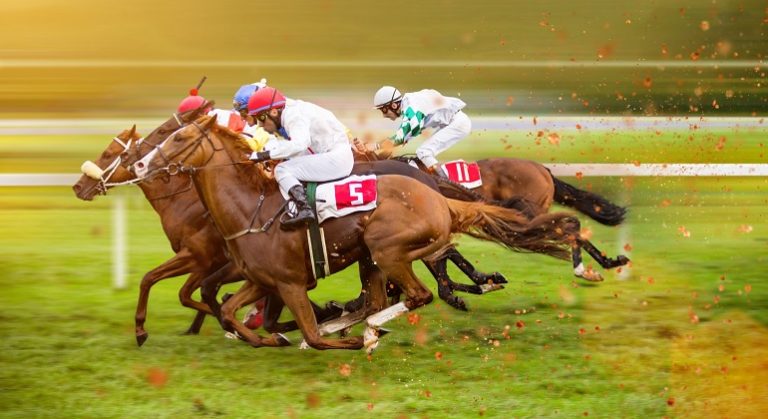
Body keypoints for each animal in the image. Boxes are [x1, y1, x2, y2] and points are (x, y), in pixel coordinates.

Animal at [132, 114, 581, 350]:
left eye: (178, 136)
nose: (140, 165)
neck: (250, 209)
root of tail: (439, 198)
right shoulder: (262, 280)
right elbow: (228, 308)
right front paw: (268, 337)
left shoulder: (290, 283)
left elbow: (311, 334)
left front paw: (325, 334)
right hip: (373, 257)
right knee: (381, 298)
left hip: (386, 250)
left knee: (415, 294)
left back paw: (368, 329)